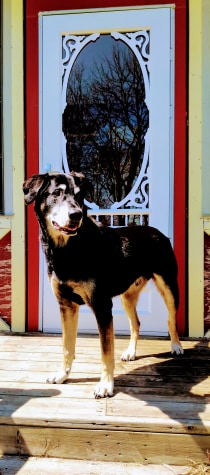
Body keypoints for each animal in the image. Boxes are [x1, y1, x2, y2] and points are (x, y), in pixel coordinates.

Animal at [23, 171, 183, 398]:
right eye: (56, 193)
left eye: (79, 196)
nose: (76, 215)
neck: (68, 249)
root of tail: (158, 232)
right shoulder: (66, 305)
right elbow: (66, 346)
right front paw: (62, 375)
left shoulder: (101, 306)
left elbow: (106, 351)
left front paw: (106, 385)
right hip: (127, 297)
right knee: (136, 323)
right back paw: (131, 352)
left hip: (169, 286)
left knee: (170, 319)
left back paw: (176, 345)